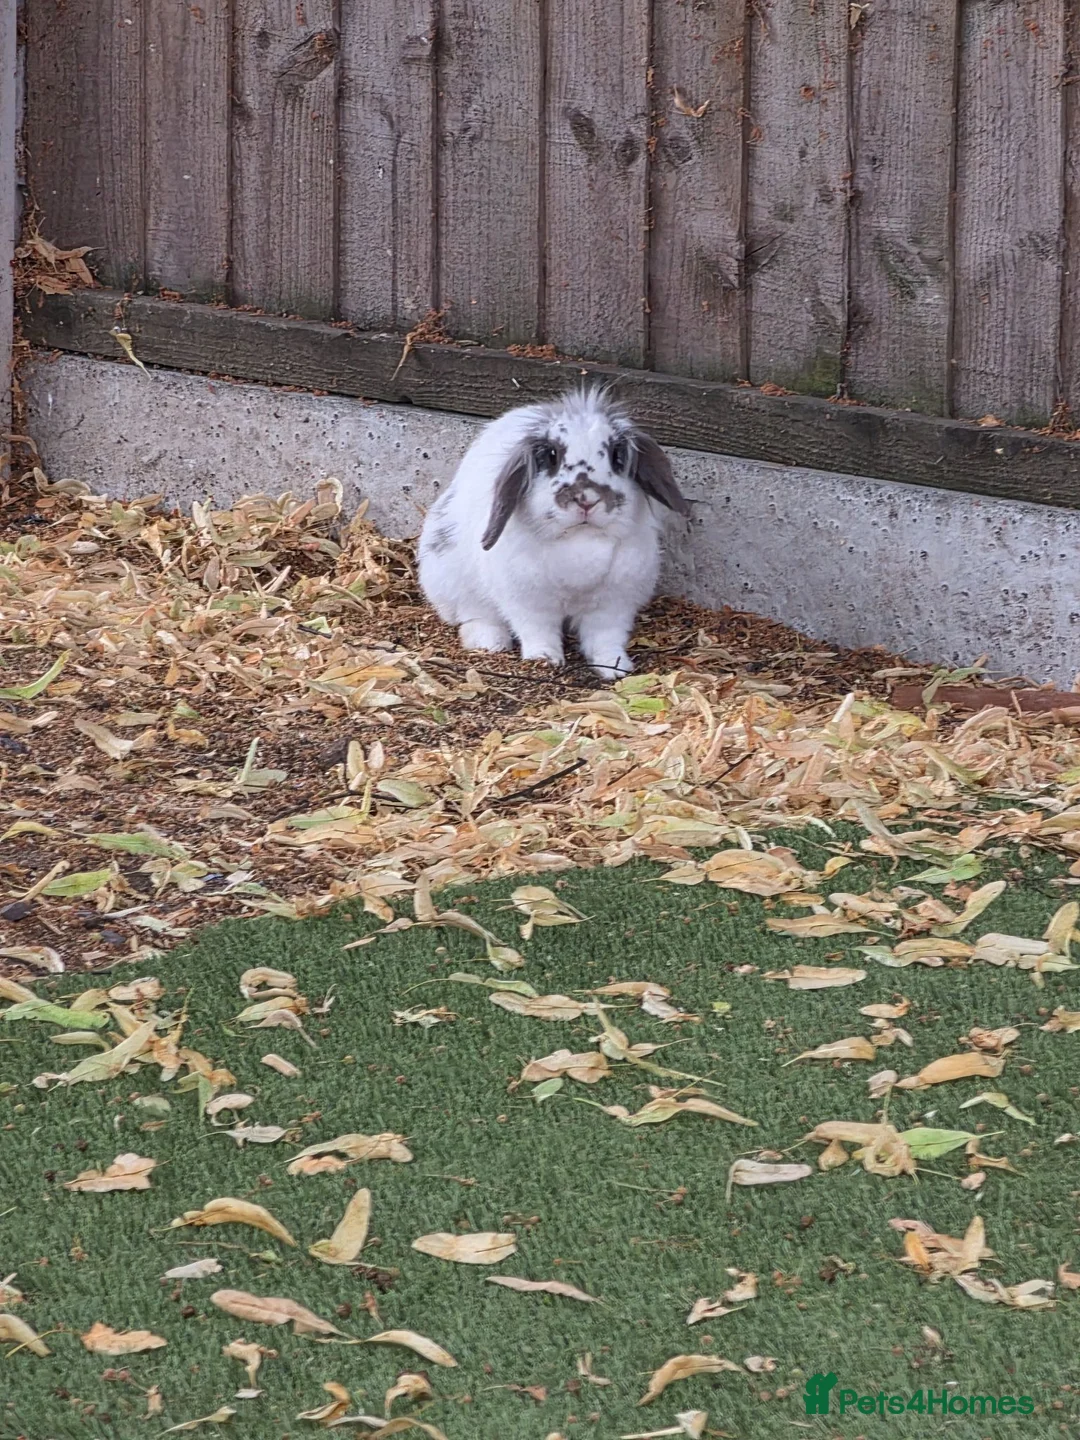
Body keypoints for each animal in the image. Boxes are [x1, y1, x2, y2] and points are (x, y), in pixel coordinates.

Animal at [417, 388, 690, 679]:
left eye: (616, 455)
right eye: (551, 455)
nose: (586, 499)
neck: (580, 538)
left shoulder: (613, 605)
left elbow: (605, 637)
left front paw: (615, 667)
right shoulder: (529, 601)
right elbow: (538, 631)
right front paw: (544, 660)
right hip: (452, 581)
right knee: (475, 615)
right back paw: (490, 643)